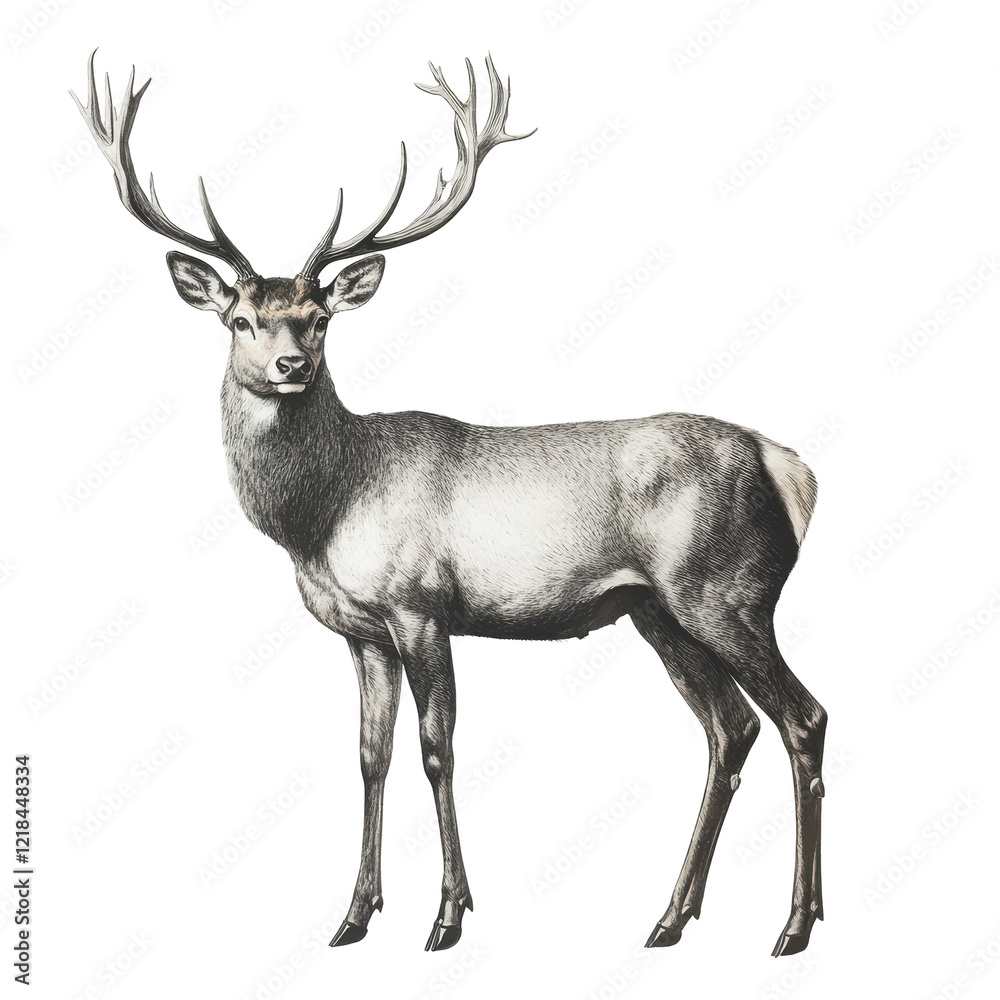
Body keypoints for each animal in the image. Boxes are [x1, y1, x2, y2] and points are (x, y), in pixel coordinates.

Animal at [72, 51, 827, 956]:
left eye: (319, 318)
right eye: (241, 318)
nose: (290, 365)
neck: (324, 513)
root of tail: (788, 468)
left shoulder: (420, 604)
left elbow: (438, 750)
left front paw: (448, 915)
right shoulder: (361, 631)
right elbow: (371, 755)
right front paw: (353, 915)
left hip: (726, 591)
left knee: (802, 718)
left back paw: (795, 925)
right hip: (660, 612)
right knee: (731, 729)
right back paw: (672, 918)